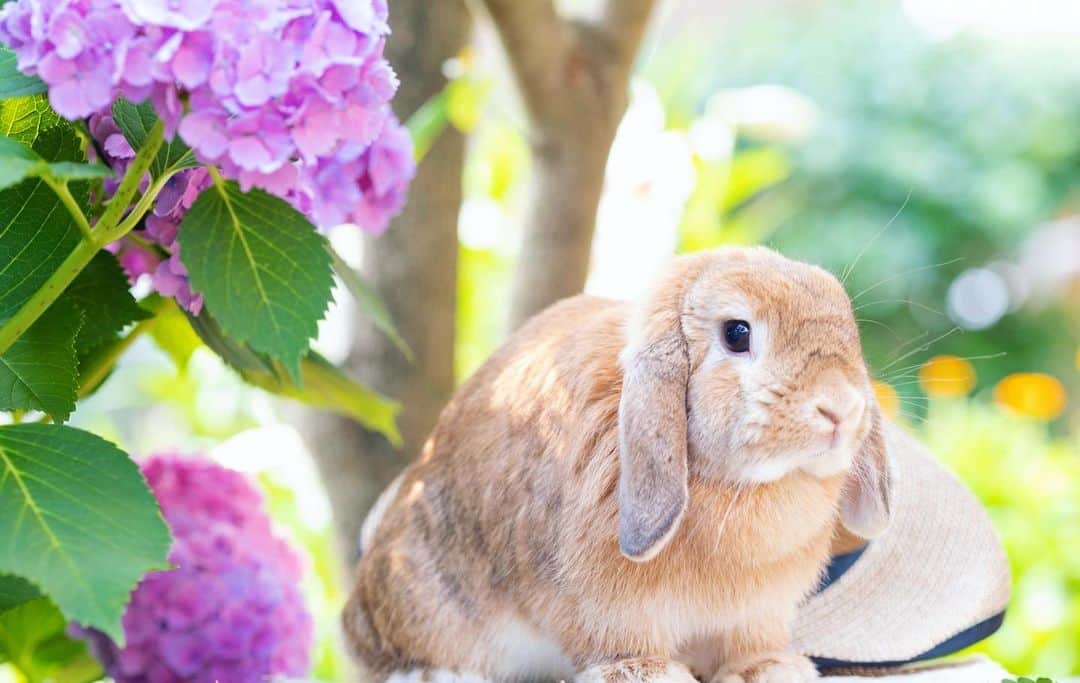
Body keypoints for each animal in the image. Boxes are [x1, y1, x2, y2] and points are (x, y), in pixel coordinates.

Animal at [343, 246, 892, 683]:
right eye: (738, 333)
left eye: (849, 327)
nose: (841, 407)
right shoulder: (605, 606)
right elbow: (618, 643)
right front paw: (649, 674)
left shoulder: (756, 614)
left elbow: (749, 646)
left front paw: (769, 669)